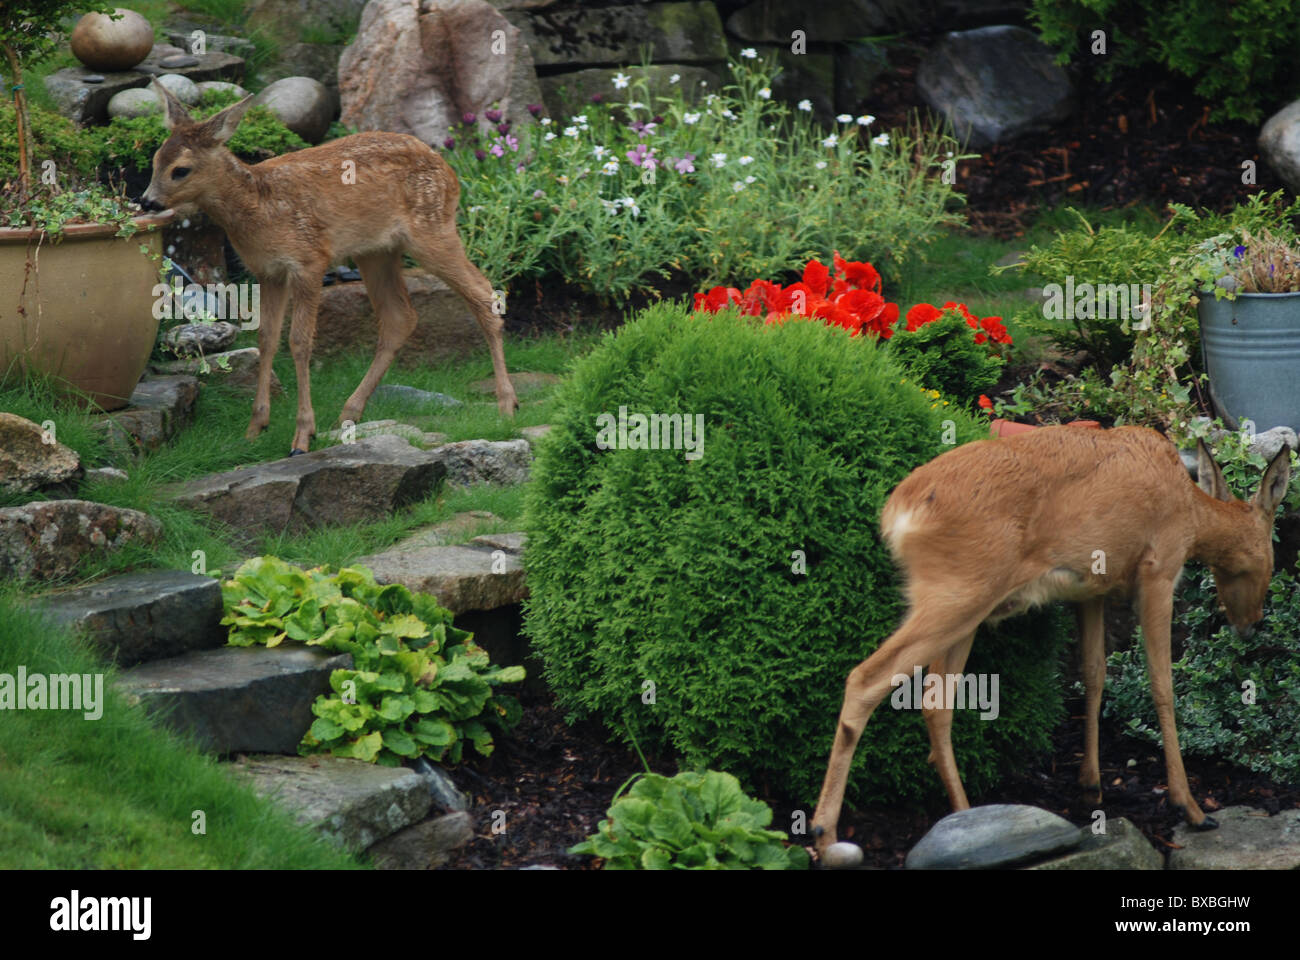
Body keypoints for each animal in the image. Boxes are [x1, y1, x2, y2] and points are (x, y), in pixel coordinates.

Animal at [140, 80, 518, 456]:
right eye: (156, 159)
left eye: (181, 169)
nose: (147, 201)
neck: (259, 205)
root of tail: (450, 172)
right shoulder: (268, 272)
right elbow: (266, 338)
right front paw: (255, 427)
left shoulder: (309, 260)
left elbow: (299, 341)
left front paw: (302, 437)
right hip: (377, 251)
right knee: (400, 317)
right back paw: (348, 413)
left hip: (431, 229)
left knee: (484, 292)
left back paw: (507, 403)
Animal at [810, 424, 1291, 869]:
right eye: (1268, 551)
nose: (1251, 624)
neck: (1190, 511)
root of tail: (898, 512)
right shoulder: (1157, 571)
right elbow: (1162, 686)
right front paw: (1190, 807)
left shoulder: (1092, 589)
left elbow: (1094, 673)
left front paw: (1090, 783)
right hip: (956, 592)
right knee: (865, 679)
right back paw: (824, 835)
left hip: (963, 607)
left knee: (935, 700)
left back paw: (966, 819)